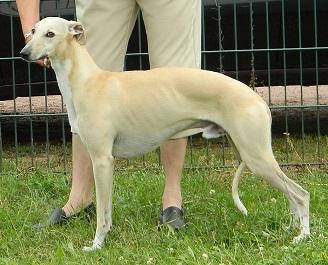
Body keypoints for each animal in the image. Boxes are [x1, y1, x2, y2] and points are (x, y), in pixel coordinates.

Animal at [19, 18, 308, 250]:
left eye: (50, 34)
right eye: (33, 30)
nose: (24, 53)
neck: (88, 80)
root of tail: (257, 98)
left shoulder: (102, 160)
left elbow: (102, 213)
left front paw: (96, 245)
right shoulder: (101, 160)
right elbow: (107, 210)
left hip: (257, 157)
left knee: (301, 195)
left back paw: (301, 238)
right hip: (249, 153)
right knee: (291, 197)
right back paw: (290, 229)